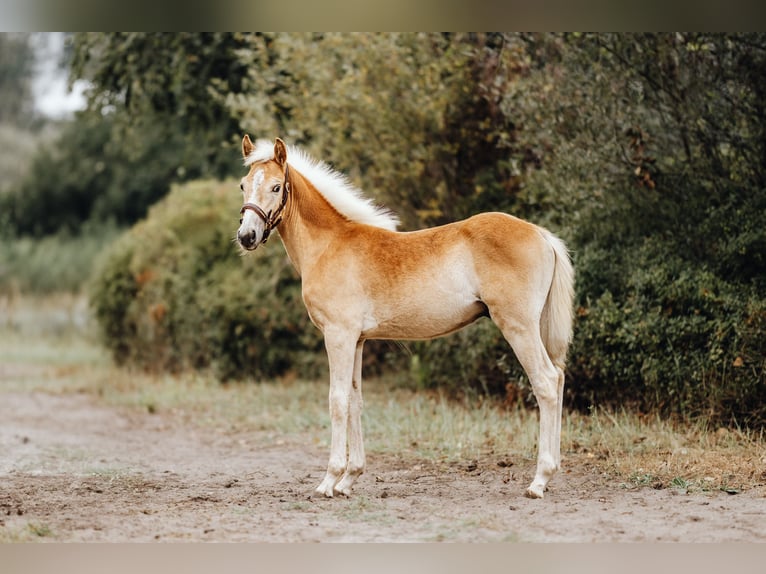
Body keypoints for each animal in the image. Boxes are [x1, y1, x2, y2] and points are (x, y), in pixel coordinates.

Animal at [237, 135, 572, 500]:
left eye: (276, 186)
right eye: (243, 185)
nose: (247, 236)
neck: (329, 246)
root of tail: (541, 234)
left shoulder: (338, 336)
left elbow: (337, 400)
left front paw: (329, 481)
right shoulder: (357, 340)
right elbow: (355, 400)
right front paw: (349, 480)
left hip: (518, 327)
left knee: (545, 382)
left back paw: (539, 481)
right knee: (558, 377)